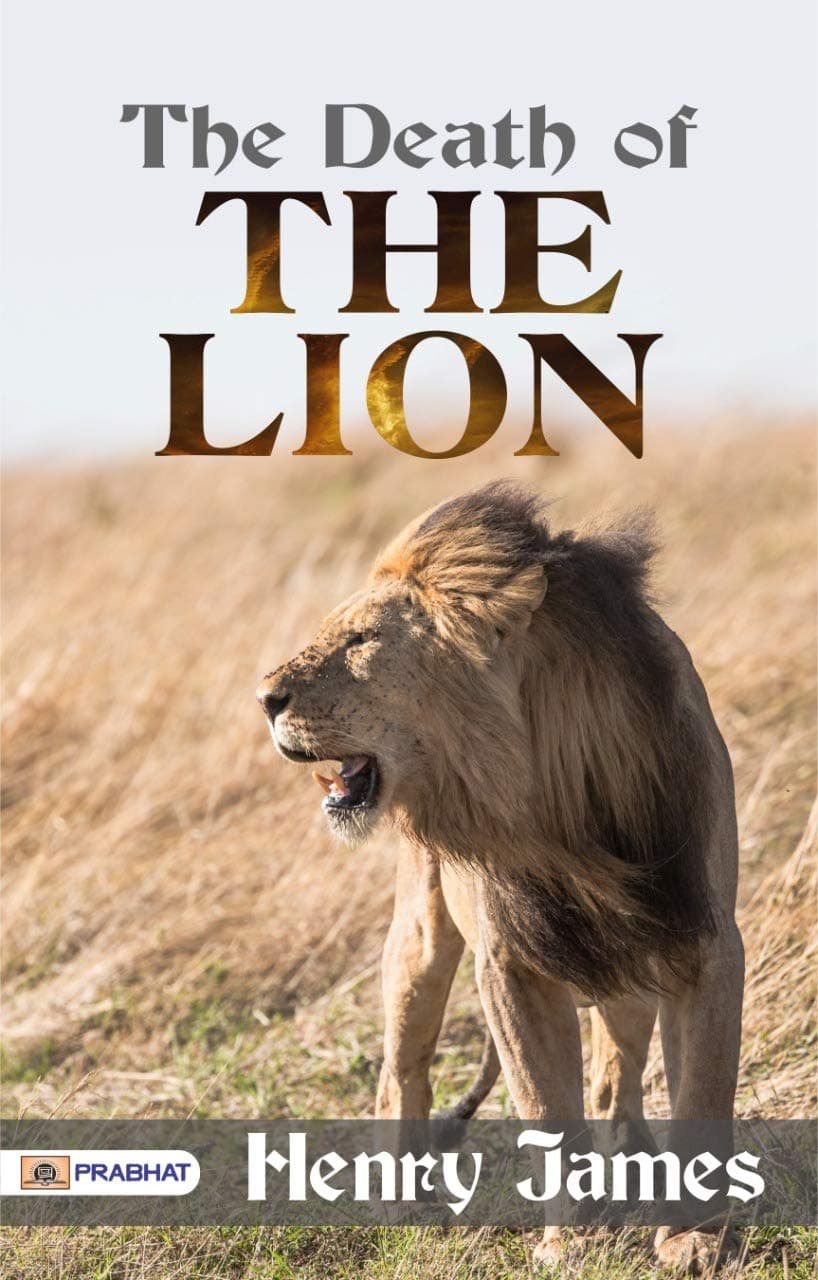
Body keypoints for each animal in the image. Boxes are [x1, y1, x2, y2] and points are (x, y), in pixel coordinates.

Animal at [256, 481, 744, 1273]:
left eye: (361, 641)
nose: (263, 699)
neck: (558, 796)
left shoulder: (700, 938)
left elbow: (702, 1089)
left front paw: (693, 1240)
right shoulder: (511, 963)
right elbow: (546, 1109)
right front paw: (573, 1242)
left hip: (628, 969)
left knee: (615, 1071)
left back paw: (631, 1158)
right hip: (421, 937)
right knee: (402, 1070)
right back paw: (403, 1203)